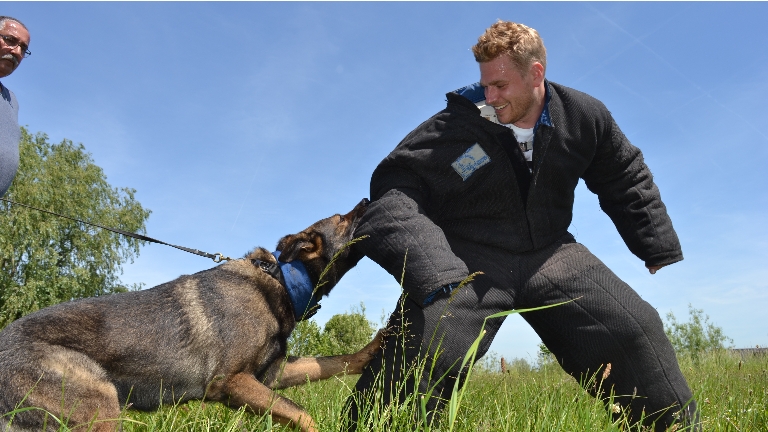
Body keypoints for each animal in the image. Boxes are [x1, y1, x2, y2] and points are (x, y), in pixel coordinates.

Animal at [0, 200, 378, 432]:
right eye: (342, 219)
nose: (367, 199)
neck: (283, 279)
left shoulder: (268, 376)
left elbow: (330, 362)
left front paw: (372, 349)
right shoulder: (233, 382)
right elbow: (303, 413)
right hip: (99, 407)